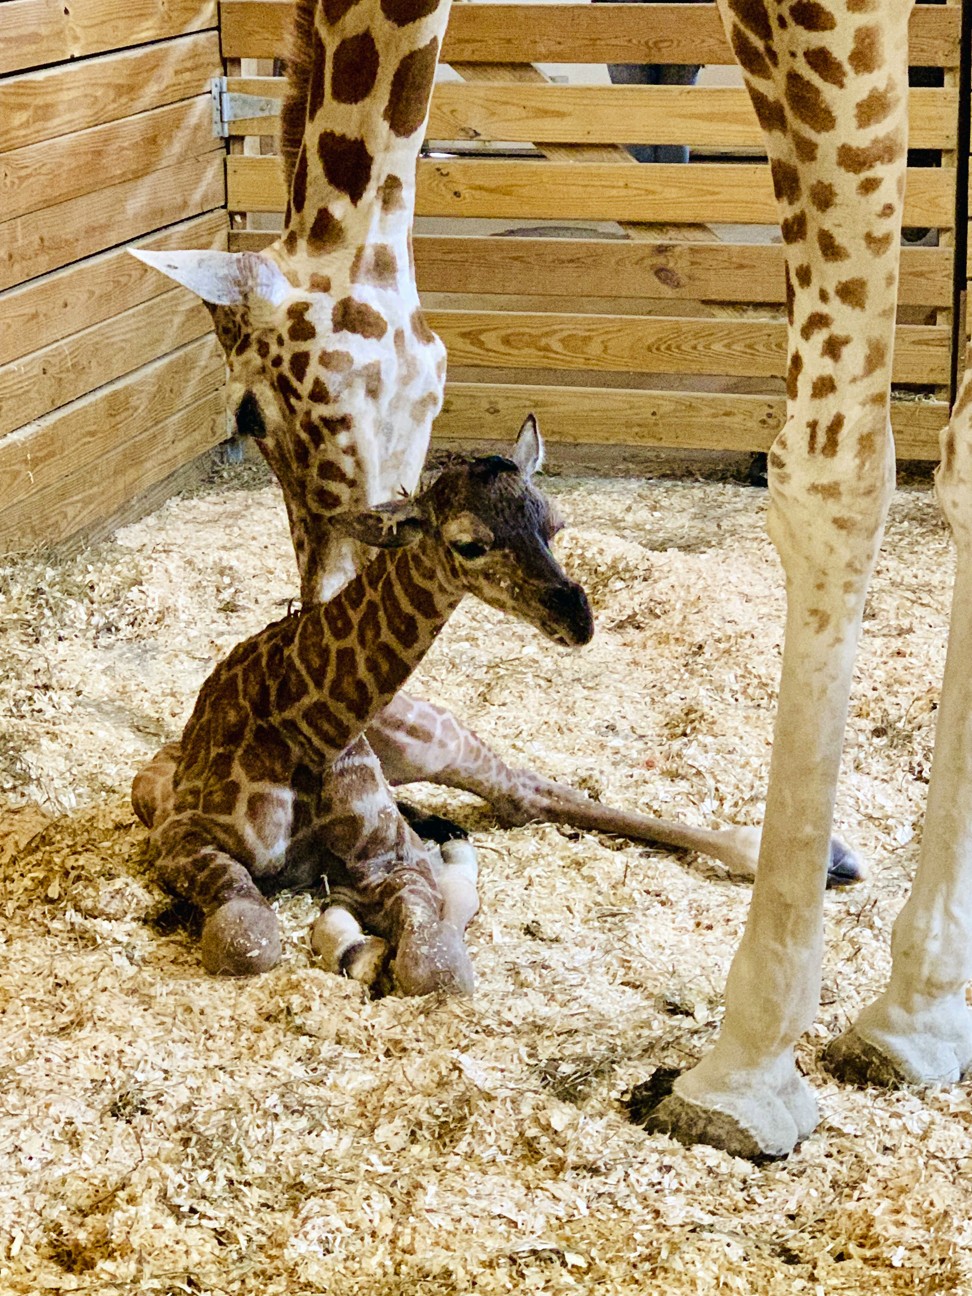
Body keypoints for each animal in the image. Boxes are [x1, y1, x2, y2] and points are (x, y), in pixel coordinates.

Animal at [137, 424, 599, 994]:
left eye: (555, 525)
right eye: (469, 545)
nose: (578, 618)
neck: (313, 729)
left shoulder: (390, 860)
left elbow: (434, 965)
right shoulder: (180, 837)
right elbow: (249, 940)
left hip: (439, 743)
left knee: (524, 791)